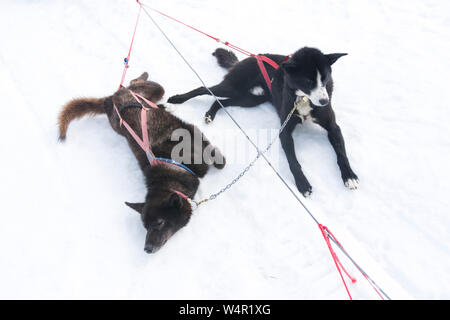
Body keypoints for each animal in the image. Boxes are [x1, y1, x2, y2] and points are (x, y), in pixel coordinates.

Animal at [169, 46, 358, 196]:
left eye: (325, 78)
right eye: (308, 81)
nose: (324, 102)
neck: (303, 99)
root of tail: (251, 57)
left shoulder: (333, 127)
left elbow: (341, 153)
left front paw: (349, 176)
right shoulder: (284, 131)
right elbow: (293, 161)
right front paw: (302, 183)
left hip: (250, 99)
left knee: (222, 101)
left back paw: (210, 113)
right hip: (233, 87)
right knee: (204, 89)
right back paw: (176, 99)